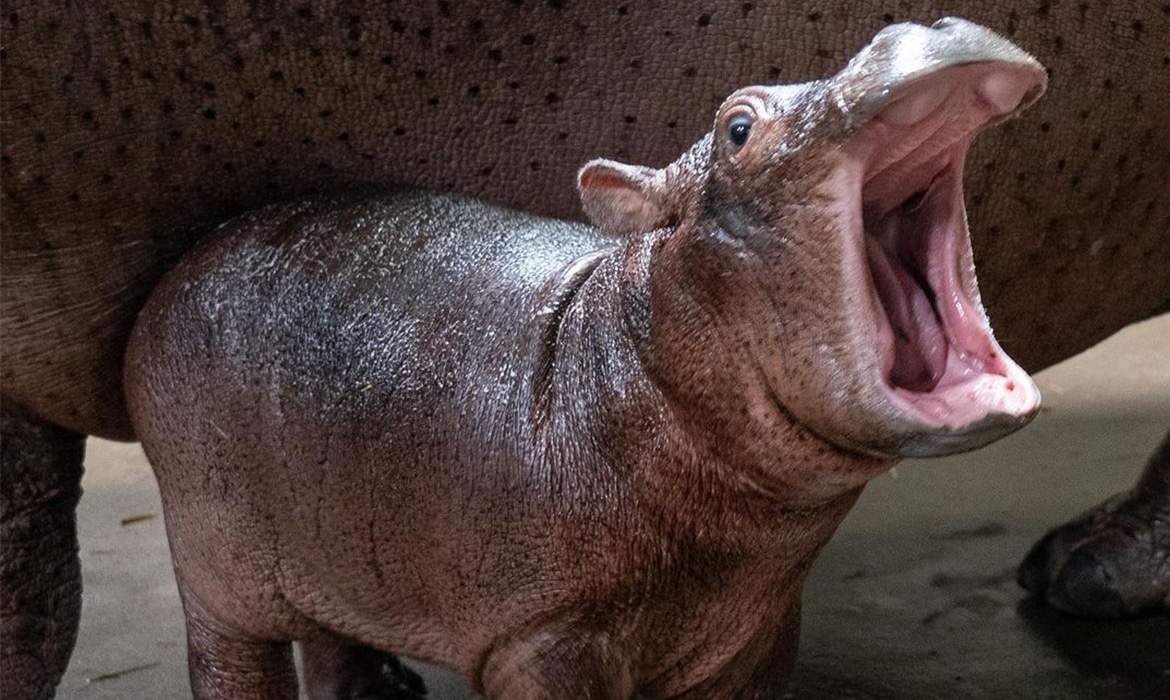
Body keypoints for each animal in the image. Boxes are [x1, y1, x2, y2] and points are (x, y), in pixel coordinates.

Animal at [3, 3, 1169, 698]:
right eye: (736, 124)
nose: (918, 22)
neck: (623, 343)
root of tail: (183, 271)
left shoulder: (754, 632)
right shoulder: (547, 642)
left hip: (329, 534)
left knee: (330, 637)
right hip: (219, 572)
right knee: (226, 659)